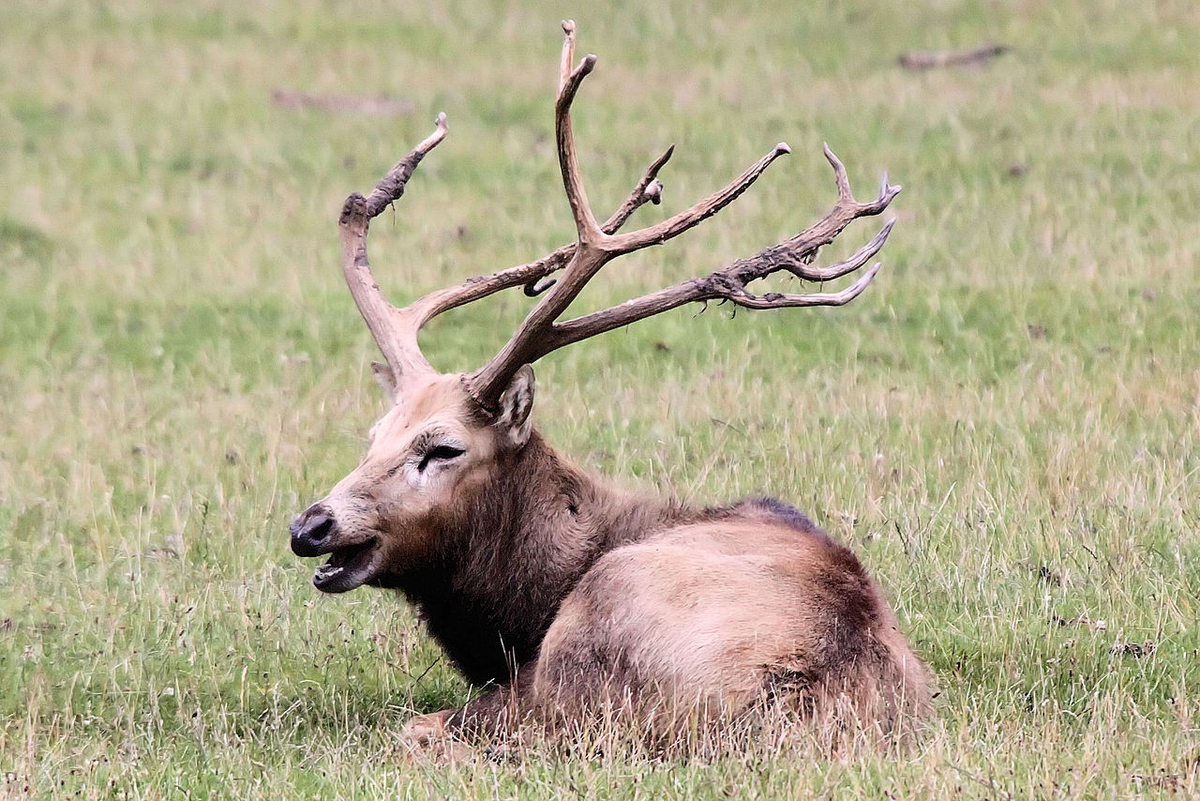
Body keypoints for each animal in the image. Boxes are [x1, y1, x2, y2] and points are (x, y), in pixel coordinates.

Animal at [288, 21, 926, 753]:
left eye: (444, 448)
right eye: (373, 435)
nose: (310, 525)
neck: (516, 612)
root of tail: (795, 694)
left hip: (589, 642)